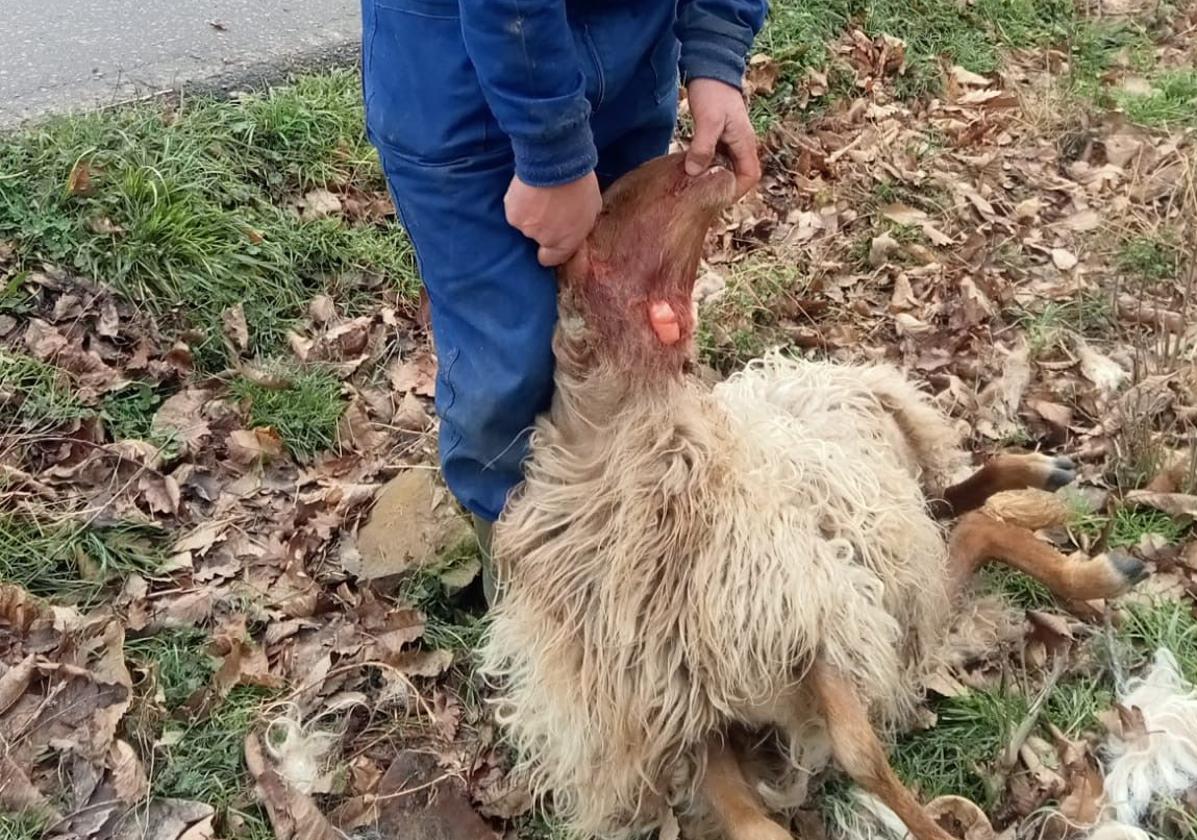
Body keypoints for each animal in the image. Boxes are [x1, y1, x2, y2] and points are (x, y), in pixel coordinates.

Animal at [476, 153, 1149, 840]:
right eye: (607, 208)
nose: (704, 157)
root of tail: (844, 377)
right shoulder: (696, 717)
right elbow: (760, 828)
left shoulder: (814, 619)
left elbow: (859, 753)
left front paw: (930, 829)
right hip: (898, 564)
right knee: (967, 524)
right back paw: (1080, 532)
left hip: (888, 548)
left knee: (962, 510)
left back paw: (1070, 519)